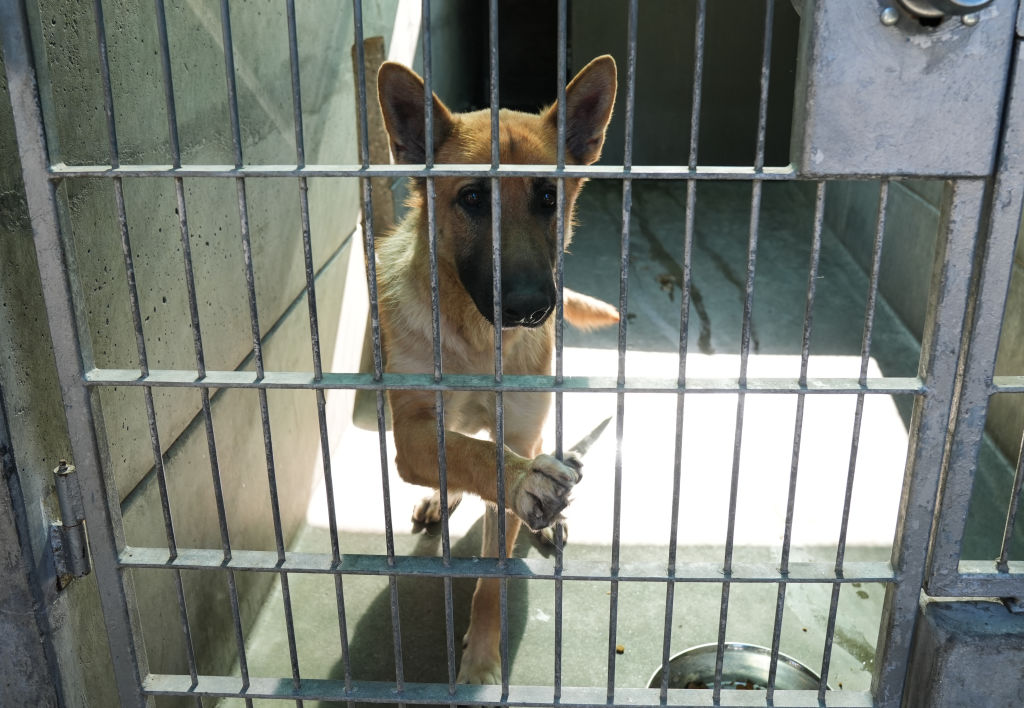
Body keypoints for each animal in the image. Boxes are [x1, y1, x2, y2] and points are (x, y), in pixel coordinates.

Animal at [374, 55, 614, 688]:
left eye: (548, 197)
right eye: (474, 198)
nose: (532, 307)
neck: (479, 343)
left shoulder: (522, 433)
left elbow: (492, 579)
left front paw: (482, 661)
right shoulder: (411, 433)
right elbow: (472, 455)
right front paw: (517, 480)